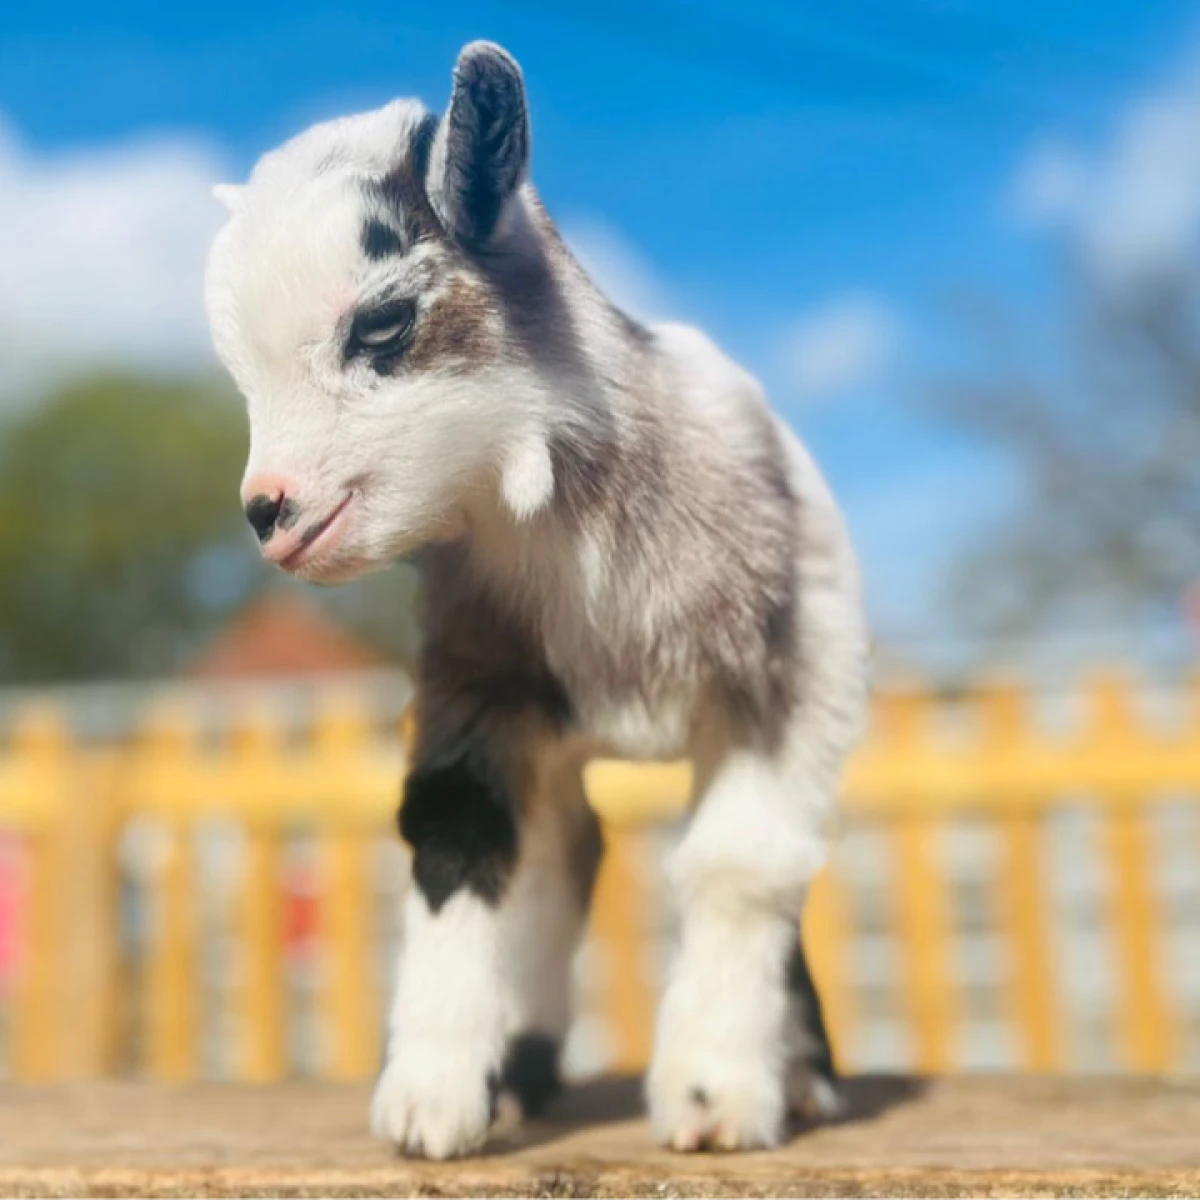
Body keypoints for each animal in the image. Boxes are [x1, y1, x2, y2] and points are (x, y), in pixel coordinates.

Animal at [205, 41, 869, 1159]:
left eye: (383, 321)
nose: (269, 513)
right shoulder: (475, 676)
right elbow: (455, 835)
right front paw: (432, 1101)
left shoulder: (791, 671)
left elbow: (741, 868)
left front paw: (714, 1099)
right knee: (562, 851)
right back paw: (518, 1071)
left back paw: (803, 1077)